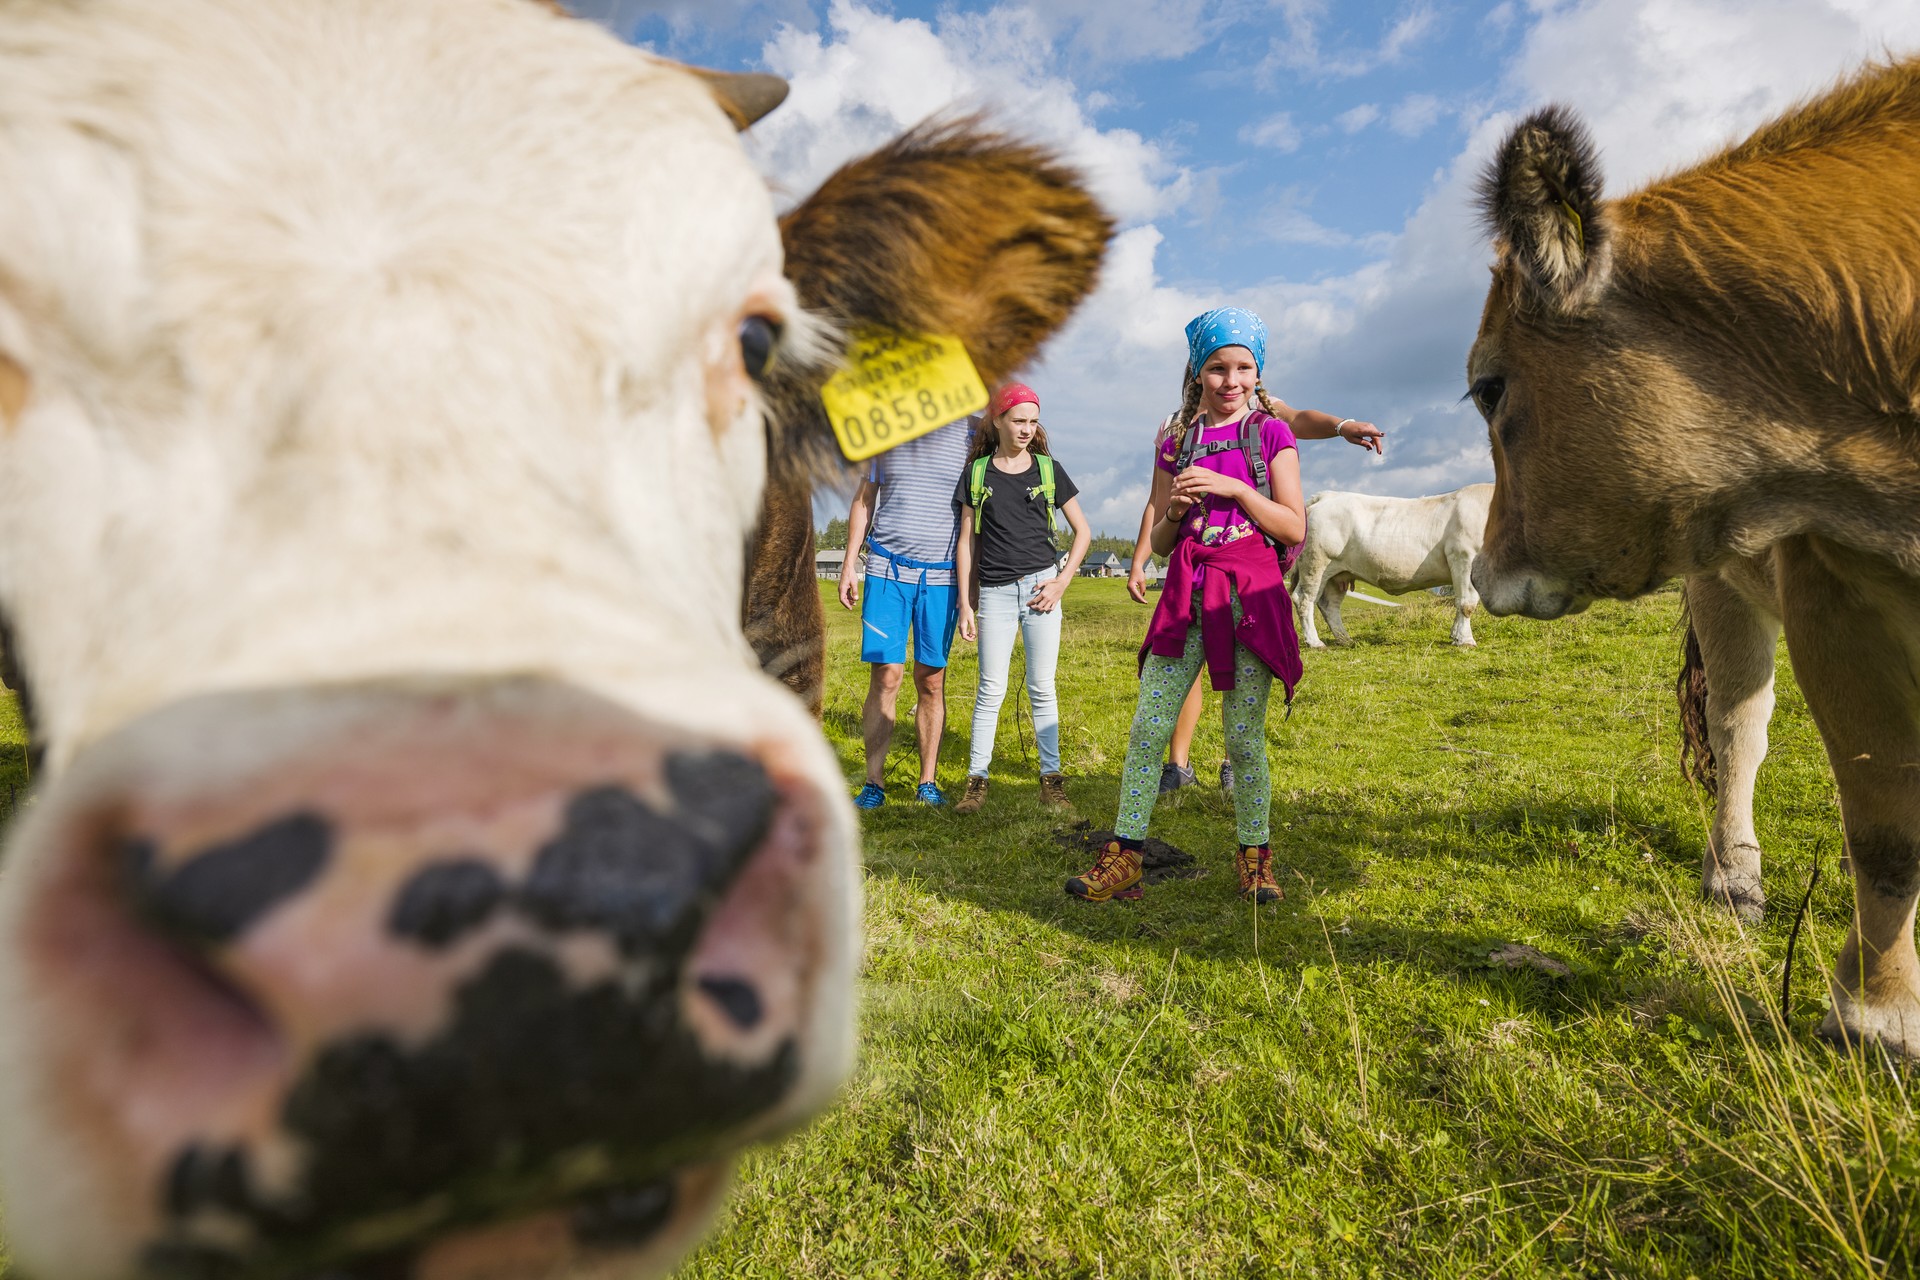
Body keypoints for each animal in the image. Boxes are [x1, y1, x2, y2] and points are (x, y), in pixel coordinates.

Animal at [1290, 487, 1497, 656]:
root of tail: (1325, 496)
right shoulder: (1464, 556)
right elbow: (1466, 603)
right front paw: (1466, 640)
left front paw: (1455, 635)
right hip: (1316, 563)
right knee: (1304, 599)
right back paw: (1315, 642)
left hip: (1337, 574)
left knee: (1329, 605)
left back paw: (1345, 639)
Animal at [1466, 59, 1920, 1059]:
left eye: (1487, 388)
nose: (1481, 571)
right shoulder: (1833, 585)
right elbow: (1887, 823)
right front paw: (1877, 1016)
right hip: (1722, 590)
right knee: (1739, 730)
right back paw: (1734, 875)